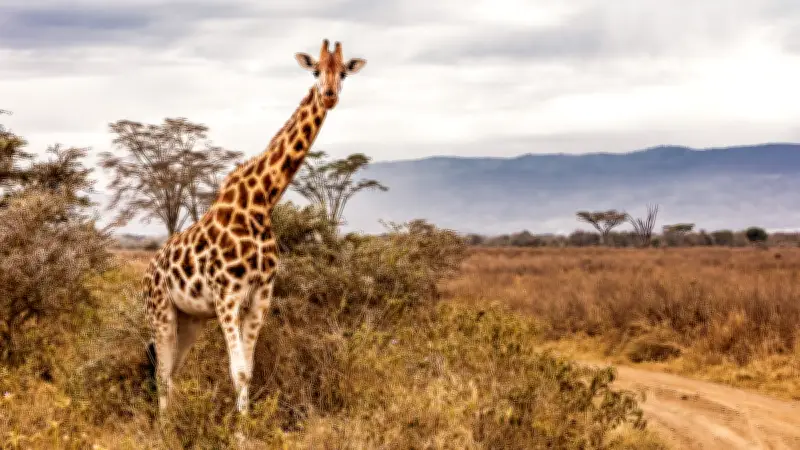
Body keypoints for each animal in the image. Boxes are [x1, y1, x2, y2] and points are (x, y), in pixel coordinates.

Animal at [142, 39, 367, 415]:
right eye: (315, 71)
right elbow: (238, 371)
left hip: (190, 318)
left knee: (172, 369)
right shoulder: (227, 295)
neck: (261, 201)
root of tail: (145, 274)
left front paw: (246, 423)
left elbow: (249, 369)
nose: (329, 95)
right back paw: (164, 425)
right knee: (161, 370)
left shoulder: (261, 294)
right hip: (161, 312)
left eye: (344, 73)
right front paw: (241, 426)